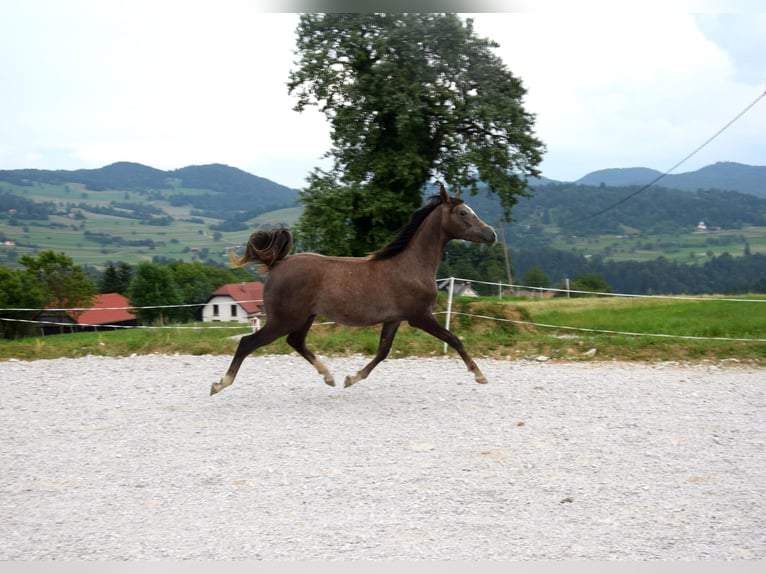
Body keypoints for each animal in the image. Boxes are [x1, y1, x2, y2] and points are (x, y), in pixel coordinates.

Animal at [210, 187, 498, 398]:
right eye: (463, 213)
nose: (492, 234)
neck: (411, 265)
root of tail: (277, 264)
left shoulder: (394, 319)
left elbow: (383, 352)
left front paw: (351, 378)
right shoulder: (420, 316)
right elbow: (454, 339)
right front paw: (480, 375)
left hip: (304, 317)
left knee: (296, 342)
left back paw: (329, 376)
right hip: (284, 319)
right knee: (248, 342)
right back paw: (220, 383)